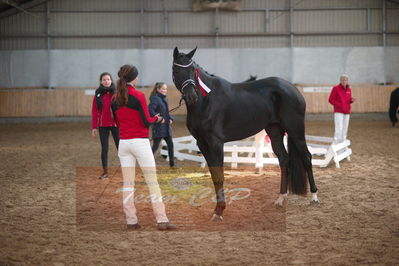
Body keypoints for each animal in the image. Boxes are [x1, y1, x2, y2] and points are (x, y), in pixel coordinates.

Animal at [173, 47, 320, 220]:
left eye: (192, 70)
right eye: (176, 70)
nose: (191, 96)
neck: (206, 100)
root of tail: (293, 88)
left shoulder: (216, 143)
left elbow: (220, 176)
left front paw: (219, 211)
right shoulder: (202, 143)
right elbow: (214, 175)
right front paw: (217, 209)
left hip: (295, 130)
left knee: (307, 157)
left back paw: (314, 197)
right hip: (275, 131)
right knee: (284, 160)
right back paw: (280, 198)